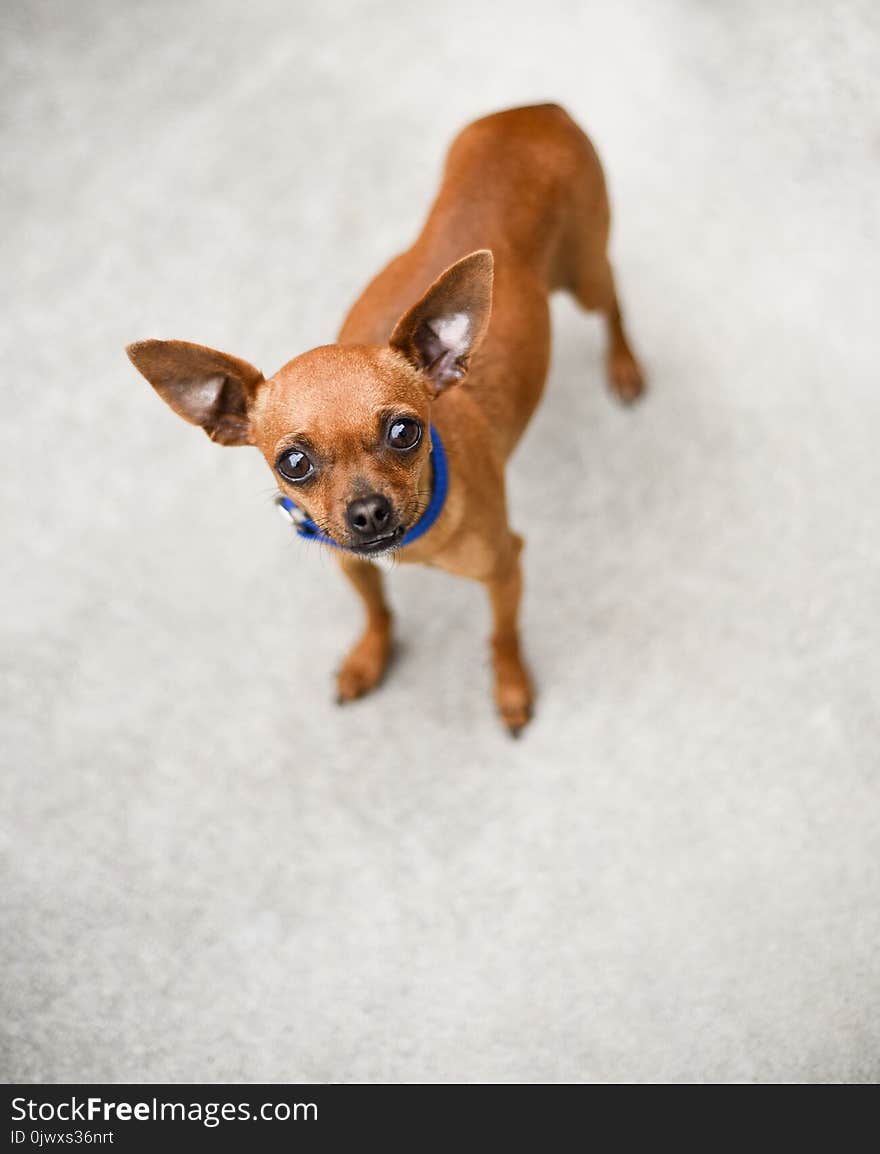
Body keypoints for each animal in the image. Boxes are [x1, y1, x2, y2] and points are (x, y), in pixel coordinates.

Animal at [127, 103, 645, 733]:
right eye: (293, 463)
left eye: (405, 432)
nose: (368, 512)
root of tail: (537, 110)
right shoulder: (351, 565)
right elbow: (377, 611)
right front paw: (369, 659)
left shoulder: (505, 569)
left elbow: (502, 636)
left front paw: (511, 687)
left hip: (586, 273)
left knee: (614, 302)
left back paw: (624, 366)